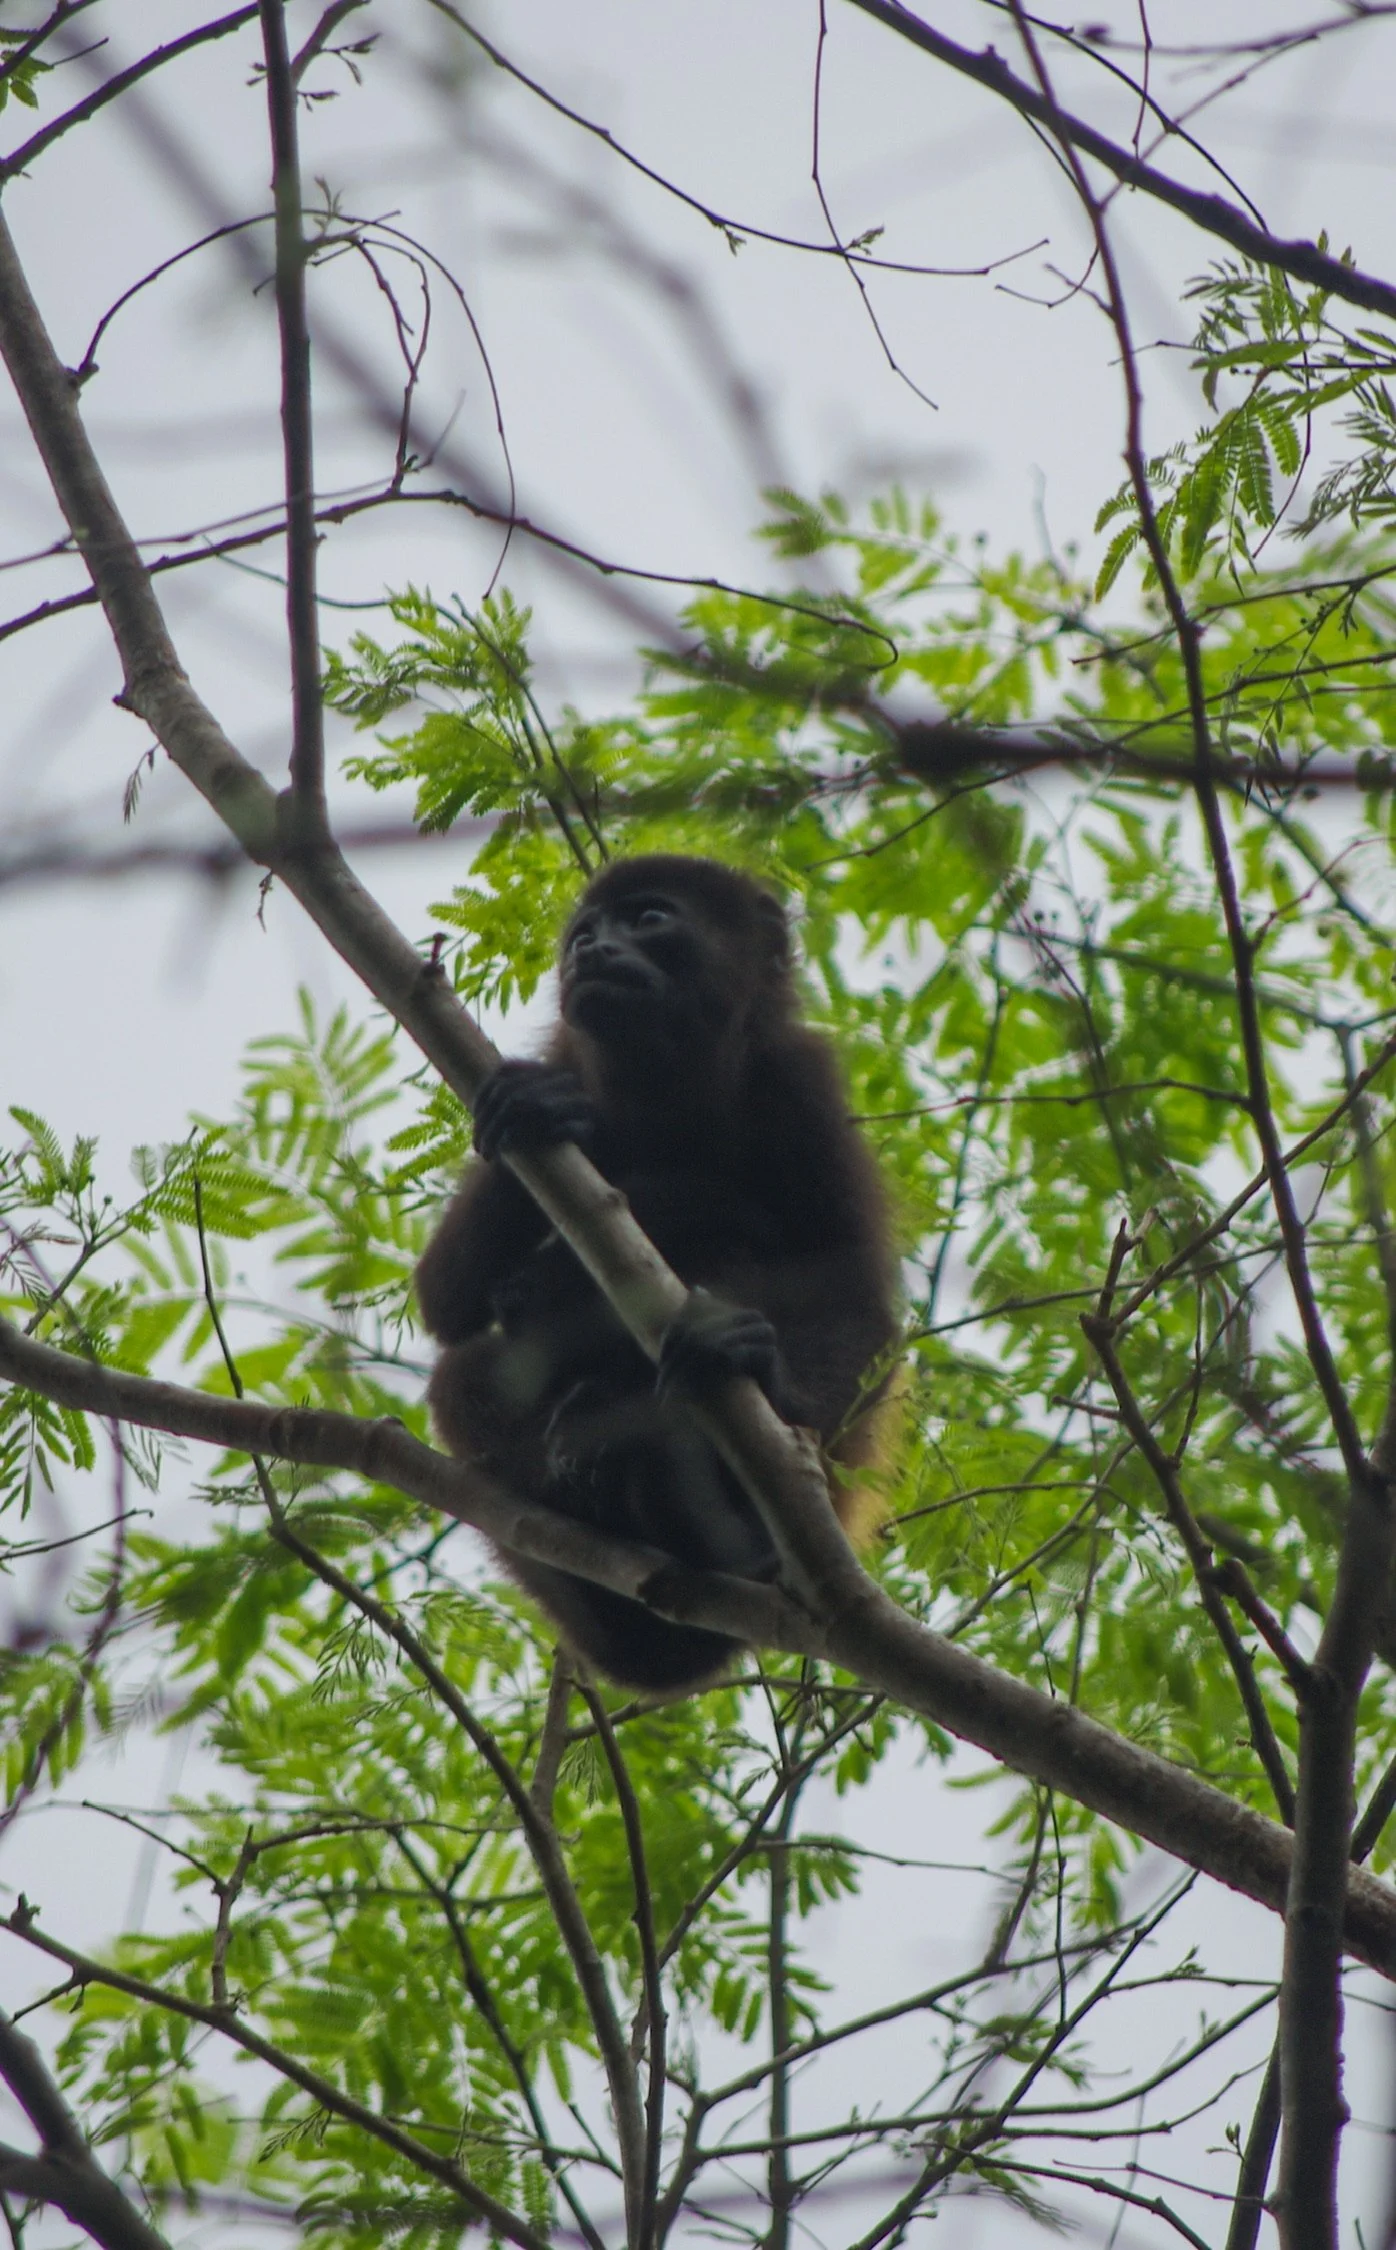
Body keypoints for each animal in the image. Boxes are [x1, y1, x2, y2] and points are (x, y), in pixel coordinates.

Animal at [415, 855, 898, 1693]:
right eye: (584, 932)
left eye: (648, 919)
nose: (592, 950)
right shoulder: (567, 1055)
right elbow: (445, 1300)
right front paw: (540, 1109)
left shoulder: (798, 1081)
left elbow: (853, 1289)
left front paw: (765, 1375)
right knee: (468, 1373)